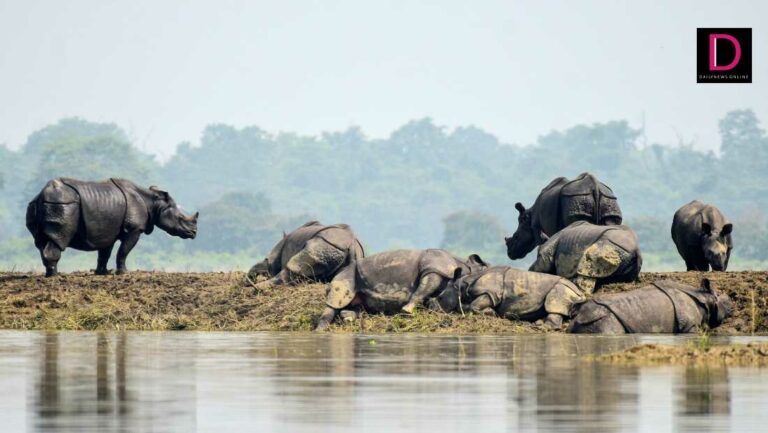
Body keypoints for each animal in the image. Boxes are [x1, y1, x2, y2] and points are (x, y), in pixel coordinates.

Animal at [26, 178, 198, 277]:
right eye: (181, 219)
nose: (194, 233)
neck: (154, 203)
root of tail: (42, 194)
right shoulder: (134, 229)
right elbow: (124, 251)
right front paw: (124, 273)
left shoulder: (106, 231)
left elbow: (105, 253)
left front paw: (102, 273)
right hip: (62, 205)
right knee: (58, 238)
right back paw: (56, 276)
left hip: (39, 204)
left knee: (41, 241)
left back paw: (51, 274)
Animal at [315, 249, 489, 330]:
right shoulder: (434, 268)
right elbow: (424, 287)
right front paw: (407, 311)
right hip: (347, 273)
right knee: (337, 298)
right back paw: (320, 329)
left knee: (359, 304)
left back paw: (347, 318)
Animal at [436, 266, 586, 329]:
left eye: (440, 298)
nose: (435, 309)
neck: (462, 285)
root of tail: (581, 294)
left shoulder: (490, 293)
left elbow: (474, 305)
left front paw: (491, 312)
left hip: (562, 288)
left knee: (554, 301)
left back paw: (542, 327)